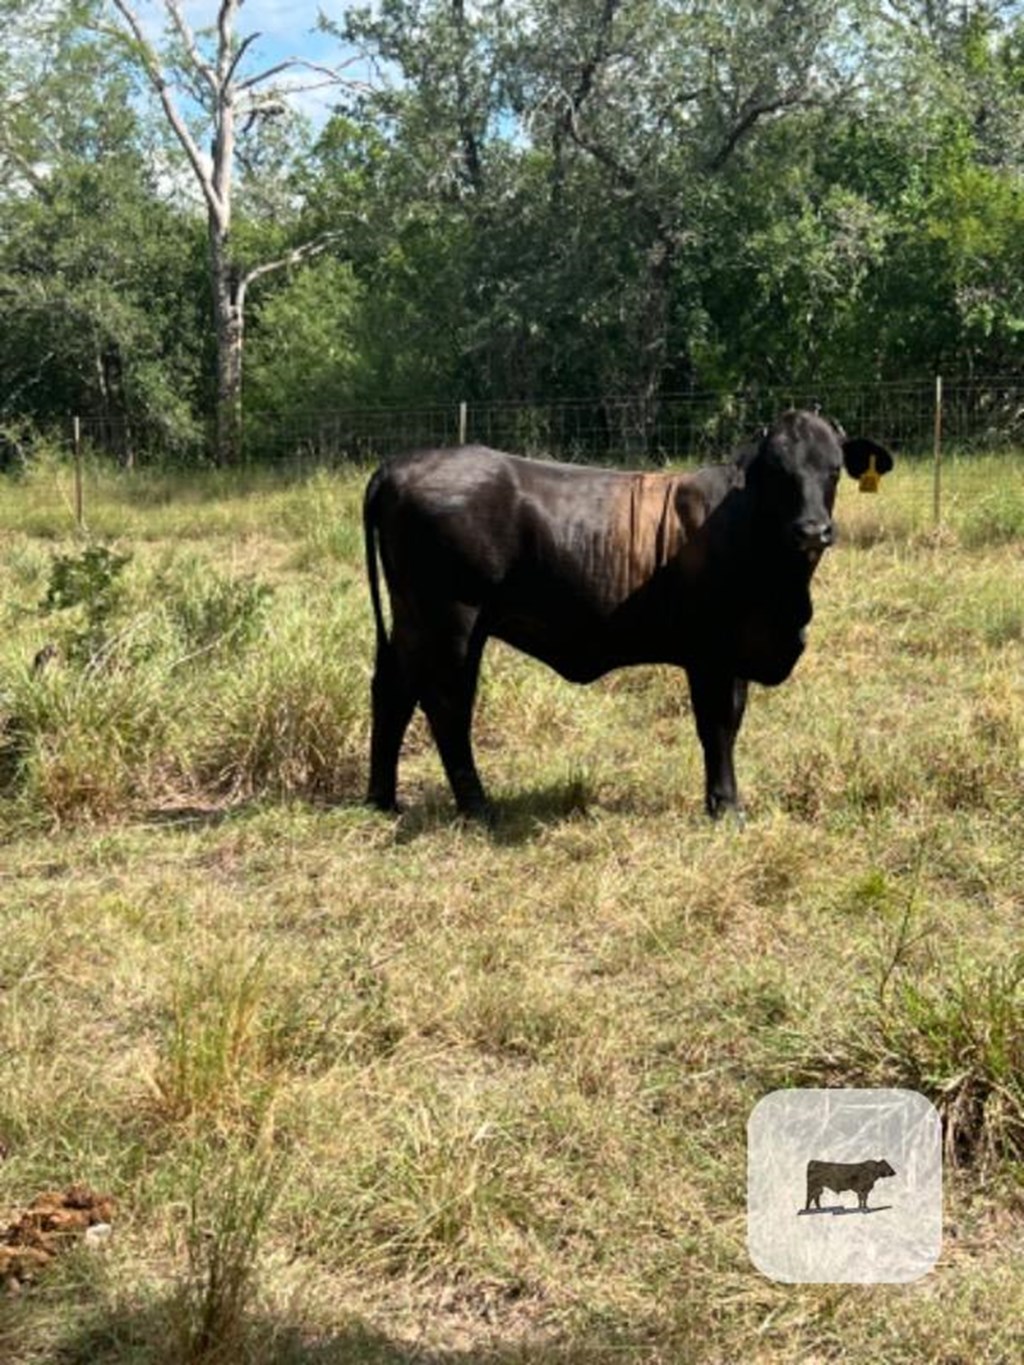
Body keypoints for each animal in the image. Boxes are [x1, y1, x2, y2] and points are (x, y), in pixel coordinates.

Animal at [365, 409, 895, 819]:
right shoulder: (710, 654)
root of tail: (401, 464)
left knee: (393, 693)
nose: (813, 530)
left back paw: (381, 800)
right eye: (779, 473)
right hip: (453, 623)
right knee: (447, 705)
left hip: (412, 622)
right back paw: (477, 806)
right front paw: (726, 807)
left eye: (833, 470)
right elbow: (717, 725)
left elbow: (733, 721)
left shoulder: (739, 651)